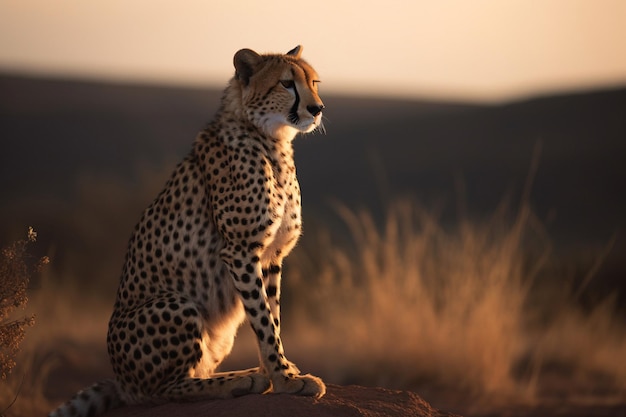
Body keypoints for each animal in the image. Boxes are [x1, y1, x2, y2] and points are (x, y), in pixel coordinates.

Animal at [48, 45, 326, 416]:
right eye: (286, 83)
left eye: (313, 82)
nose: (317, 108)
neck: (271, 141)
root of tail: (120, 380)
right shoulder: (241, 251)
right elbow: (265, 322)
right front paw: (284, 379)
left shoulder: (270, 257)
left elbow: (273, 317)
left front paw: (280, 370)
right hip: (177, 303)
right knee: (160, 390)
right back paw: (240, 381)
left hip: (219, 333)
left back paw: (246, 375)